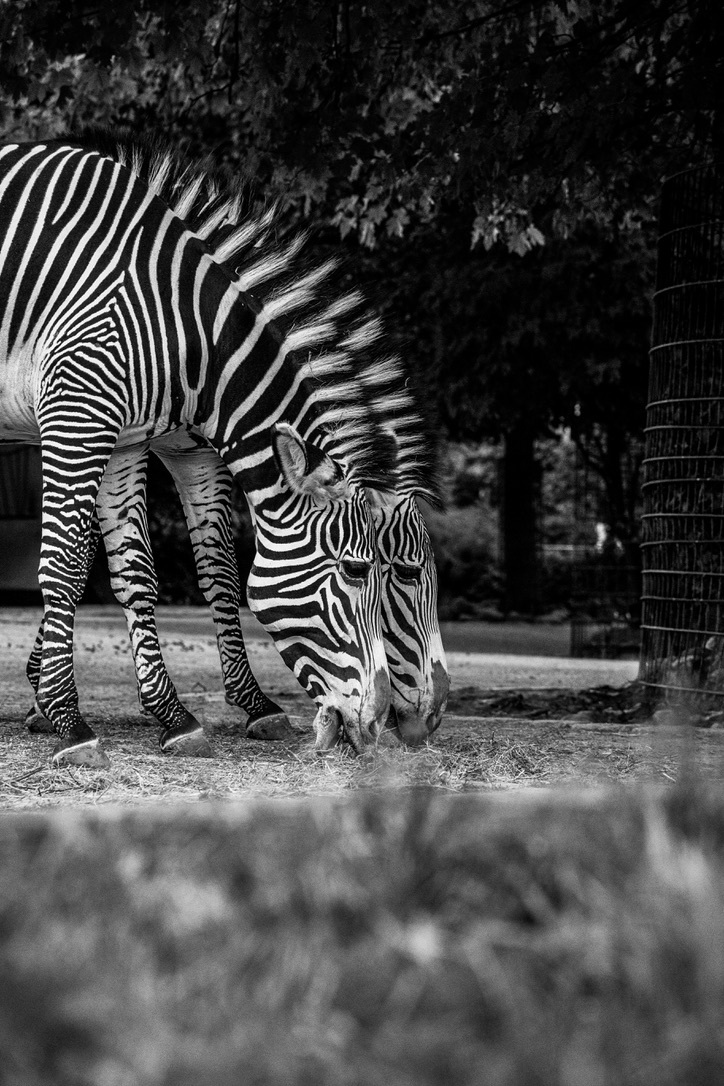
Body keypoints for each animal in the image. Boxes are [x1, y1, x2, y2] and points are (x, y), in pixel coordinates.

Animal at [0, 131, 427, 764]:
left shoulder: (129, 439)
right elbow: (66, 567)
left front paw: (179, 716)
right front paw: (67, 720)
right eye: (357, 570)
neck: (185, 331)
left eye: (393, 571)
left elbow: (145, 571)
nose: (382, 725)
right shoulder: (77, 415)